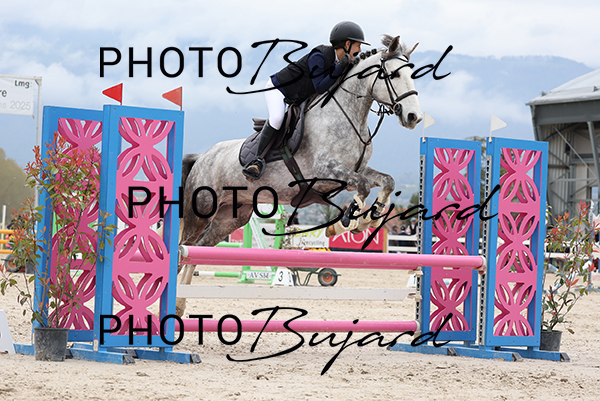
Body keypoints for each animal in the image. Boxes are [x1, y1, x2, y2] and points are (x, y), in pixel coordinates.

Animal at [176, 34, 423, 316]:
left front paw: (370, 217)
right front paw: (349, 221)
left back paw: (179, 304)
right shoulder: (325, 171)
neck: (349, 117)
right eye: (393, 75)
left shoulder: (358, 169)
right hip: (201, 211)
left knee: (196, 250)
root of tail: (201, 157)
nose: (414, 117)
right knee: (183, 249)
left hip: (230, 218)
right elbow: (361, 187)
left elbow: (386, 181)